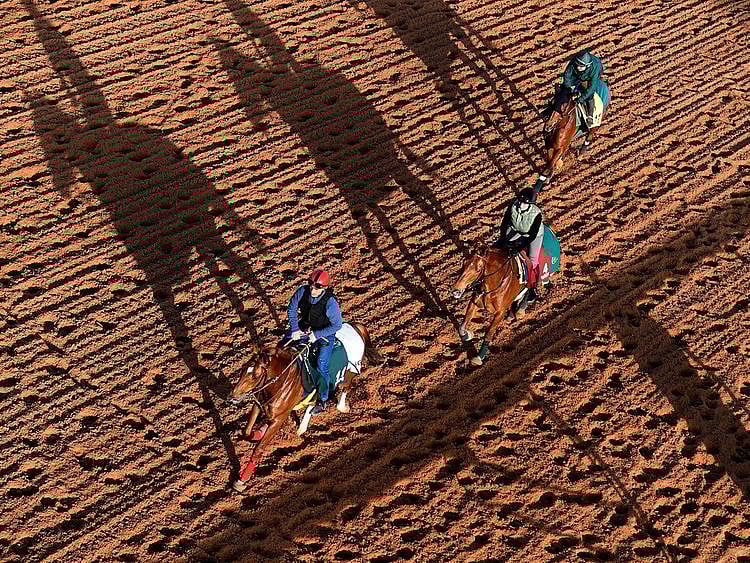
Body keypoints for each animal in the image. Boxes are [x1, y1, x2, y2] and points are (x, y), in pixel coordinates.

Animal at [229, 323, 382, 491]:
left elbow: (258, 449)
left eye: (255, 375)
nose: (232, 396)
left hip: (349, 371)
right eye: (243, 369)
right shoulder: (259, 404)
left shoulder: (280, 418)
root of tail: (354, 326)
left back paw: (341, 408)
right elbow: (246, 431)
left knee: (345, 388)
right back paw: (302, 427)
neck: (282, 380)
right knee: (314, 403)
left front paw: (241, 480)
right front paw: (258, 432)